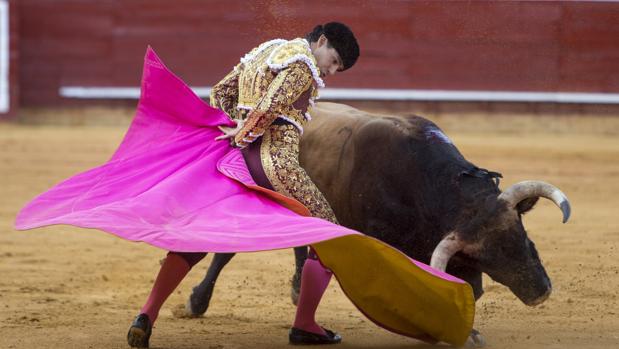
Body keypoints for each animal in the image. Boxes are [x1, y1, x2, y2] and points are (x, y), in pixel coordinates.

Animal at [179, 101, 572, 346]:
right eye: (488, 257)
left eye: (524, 238)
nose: (539, 292)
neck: (424, 182)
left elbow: (468, 289)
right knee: (227, 251)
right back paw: (197, 302)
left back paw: (297, 287)